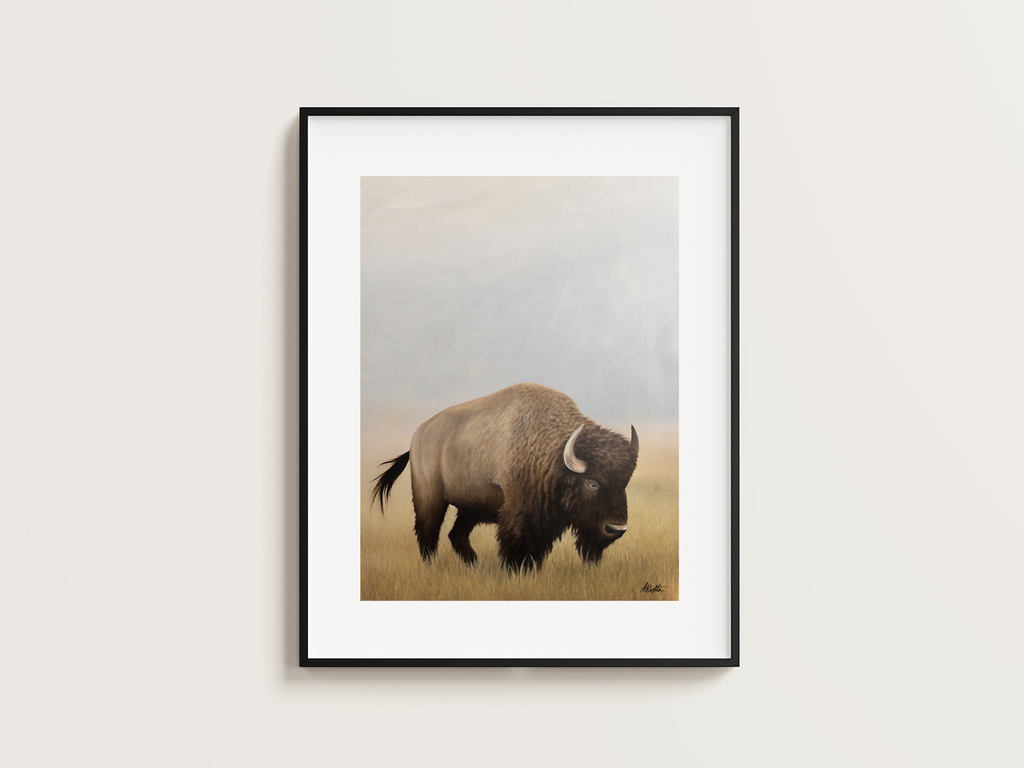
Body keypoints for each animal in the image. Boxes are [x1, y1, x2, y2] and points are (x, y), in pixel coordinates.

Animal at [370, 383, 639, 571]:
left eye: (624, 483)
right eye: (592, 483)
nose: (616, 529)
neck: (551, 452)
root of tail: (418, 434)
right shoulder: (518, 514)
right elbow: (516, 545)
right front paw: (515, 571)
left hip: (470, 508)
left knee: (456, 534)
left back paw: (474, 565)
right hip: (430, 499)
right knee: (428, 534)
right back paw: (433, 567)